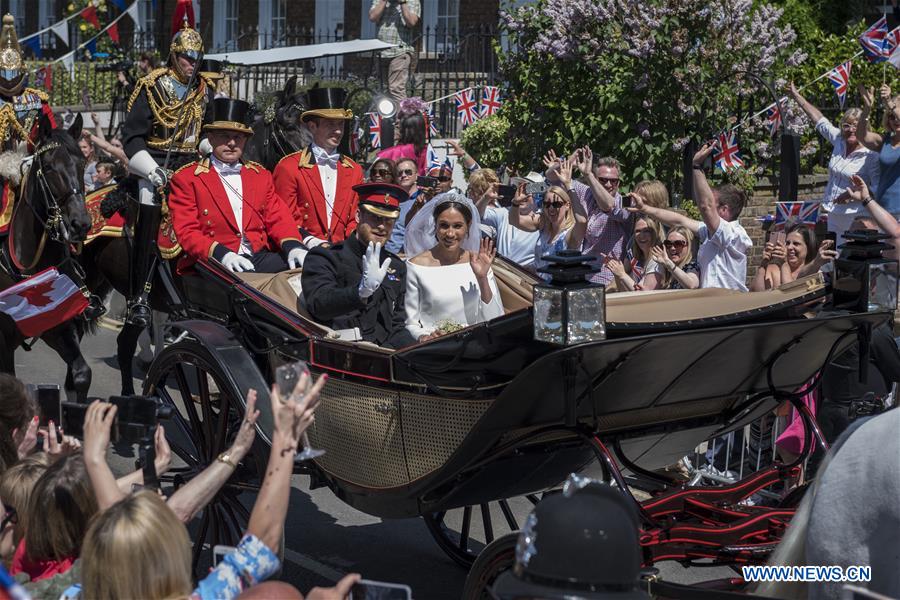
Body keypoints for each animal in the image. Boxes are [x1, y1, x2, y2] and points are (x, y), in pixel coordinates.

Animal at [0, 115, 94, 400]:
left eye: (82, 163)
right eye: (49, 166)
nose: (80, 224)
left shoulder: (57, 324)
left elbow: (81, 374)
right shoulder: (4, 339)